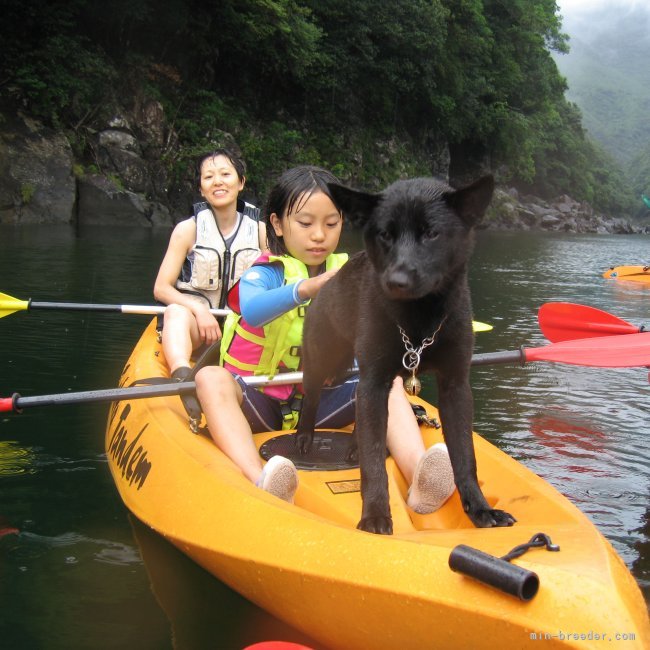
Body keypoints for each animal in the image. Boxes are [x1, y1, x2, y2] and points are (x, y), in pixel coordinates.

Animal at [296, 175, 512, 536]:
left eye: (432, 233)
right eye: (385, 234)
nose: (396, 281)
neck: (420, 323)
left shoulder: (455, 386)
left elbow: (465, 458)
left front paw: (481, 510)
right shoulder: (374, 381)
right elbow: (373, 465)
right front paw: (374, 516)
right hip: (320, 359)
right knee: (310, 399)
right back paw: (303, 437)